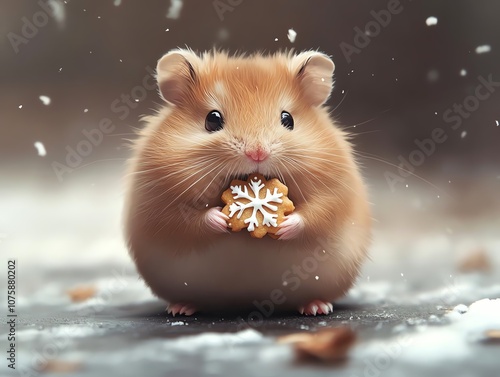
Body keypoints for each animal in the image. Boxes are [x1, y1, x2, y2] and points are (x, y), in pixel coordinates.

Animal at [122, 48, 370, 316]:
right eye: (212, 119)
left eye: (288, 119)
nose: (257, 154)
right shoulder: (160, 200)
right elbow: (187, 220)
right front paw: (221, 219)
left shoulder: (335, 191)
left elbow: (318, 214)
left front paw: (284, 225)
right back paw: (180, 308)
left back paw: (316, 307)